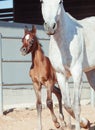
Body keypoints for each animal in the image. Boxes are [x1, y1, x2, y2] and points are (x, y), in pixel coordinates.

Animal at [40, 0, 95, 130]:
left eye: (60, 2)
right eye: (42, 1)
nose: (50, 26)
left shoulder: (77, 74)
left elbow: (76, 105)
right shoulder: (61, 75)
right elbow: (67, 104)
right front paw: (85, 122)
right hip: (91, 73)